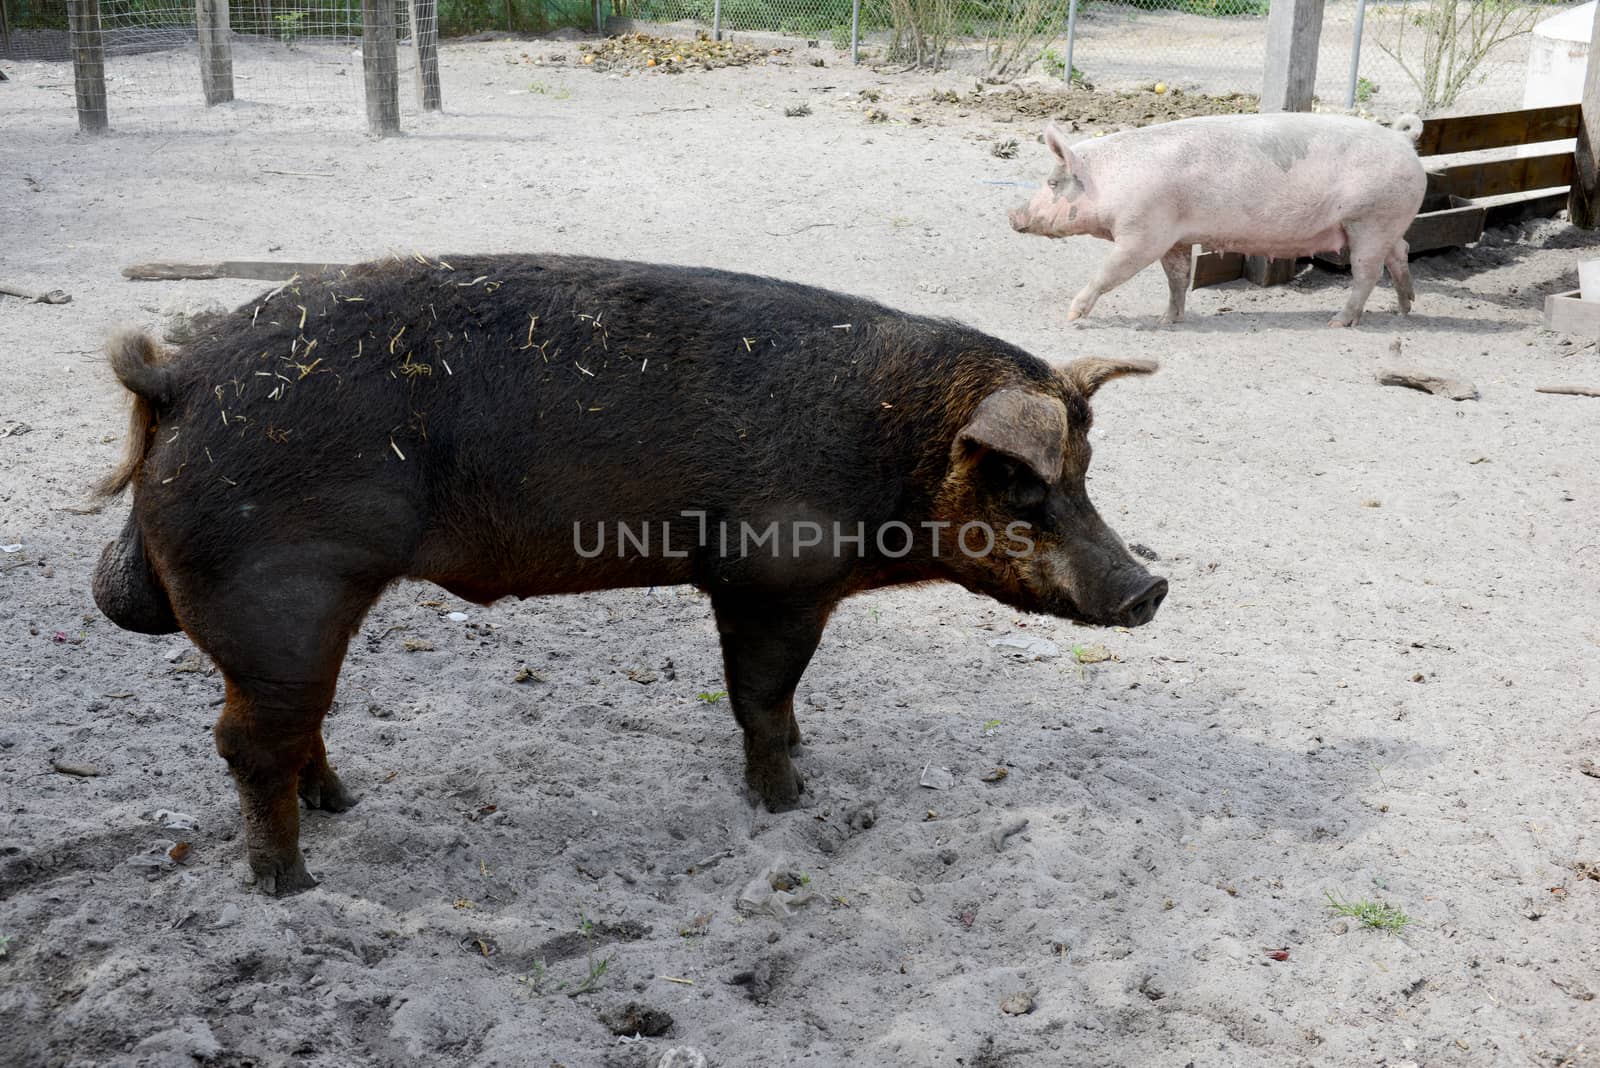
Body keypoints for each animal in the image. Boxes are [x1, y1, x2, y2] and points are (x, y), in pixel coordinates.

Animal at [1004, 113, 1433, 327]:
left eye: (1052, 182)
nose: (1011, 213)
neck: (1107, 183)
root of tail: (1403, 141)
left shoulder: (1144, 232)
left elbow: (1109, 272)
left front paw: (1070, 315)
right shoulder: (1175, 237)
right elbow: (1178, 278)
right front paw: (1167, 320)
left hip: (1370, 219)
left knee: (1367, 273)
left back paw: (1338, 322)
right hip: (1384, 223)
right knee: (1402, 251)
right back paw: (1404, 309)